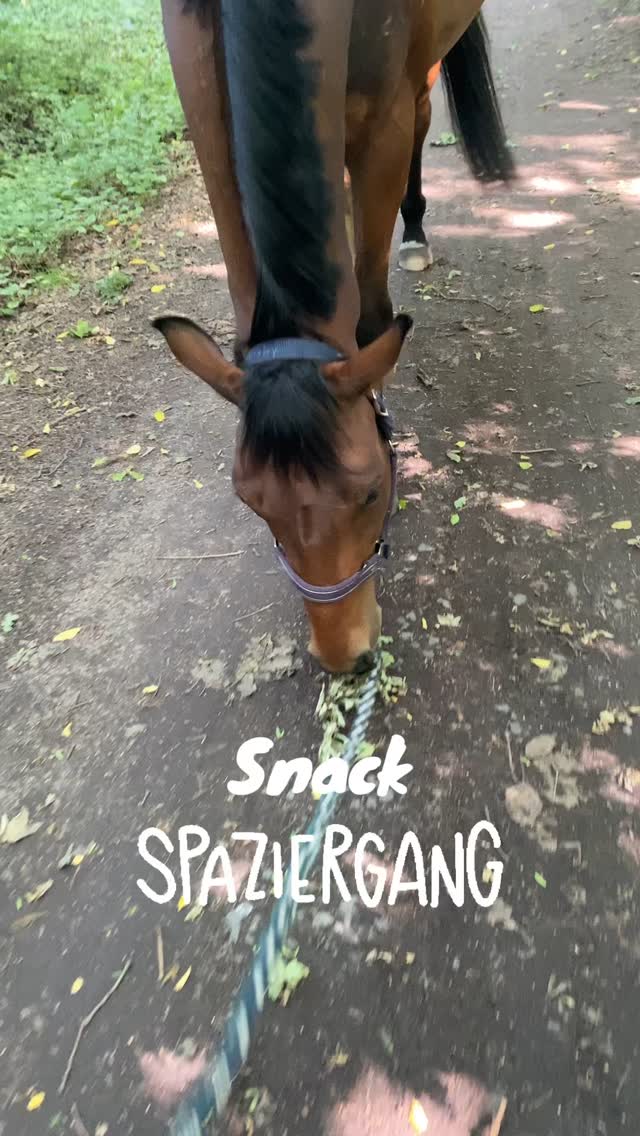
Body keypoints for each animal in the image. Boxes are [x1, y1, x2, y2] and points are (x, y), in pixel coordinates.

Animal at [155, 0, 513, 674]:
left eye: (373, 493)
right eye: (250, 501)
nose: (344, 655)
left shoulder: (384, 125)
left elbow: (371, 320)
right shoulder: (206, 117)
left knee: (422, 120)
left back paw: (415, 232)